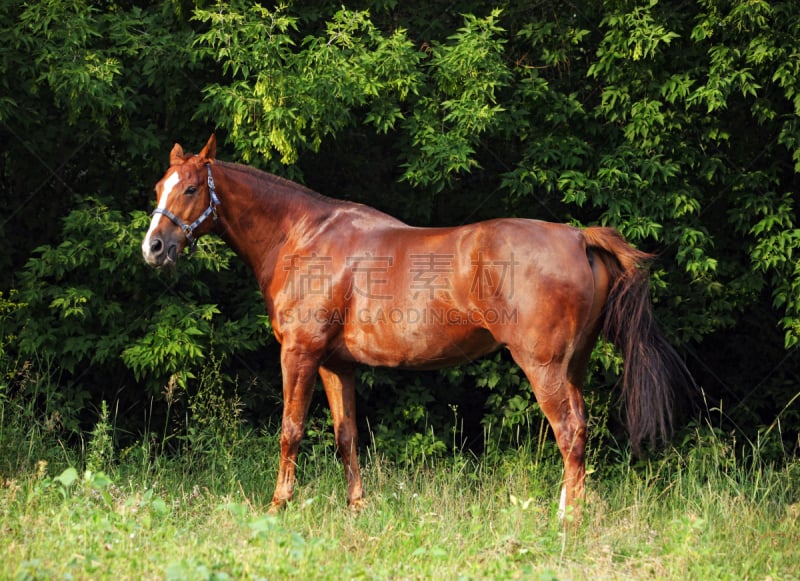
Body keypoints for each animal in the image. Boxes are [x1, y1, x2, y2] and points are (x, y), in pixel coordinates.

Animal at [141, 136, 692, 516]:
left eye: (191, 188)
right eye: (158, 187)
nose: (154, 247)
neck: (304, 236)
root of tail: (578, 237)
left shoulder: (299, 353)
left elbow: (290, 431)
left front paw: (278, 506)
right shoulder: (336, 364)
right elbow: (346, 435)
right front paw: (357, 508)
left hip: (544, 367)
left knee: (570, 432)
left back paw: (567, 519)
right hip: (572, 367)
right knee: (582, 429)